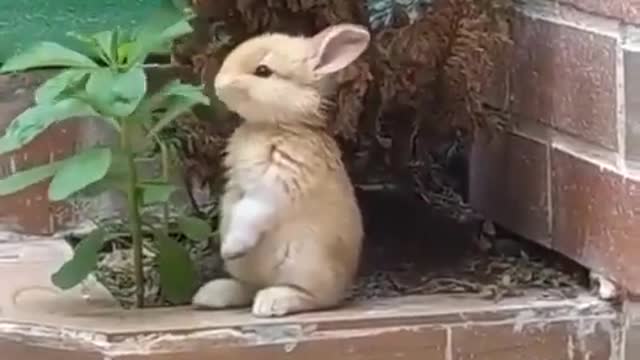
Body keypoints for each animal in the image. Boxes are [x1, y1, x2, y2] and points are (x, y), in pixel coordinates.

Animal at [190, 23, 370, 316]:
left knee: (316, 298)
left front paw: (230, 247)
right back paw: (212, 295)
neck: (273, 125)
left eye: (263, 71)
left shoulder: (280, 179)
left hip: (305, 261)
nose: (219, 84)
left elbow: (252, 209)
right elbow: (235, 202)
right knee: (248, 287)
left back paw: (273, 301)